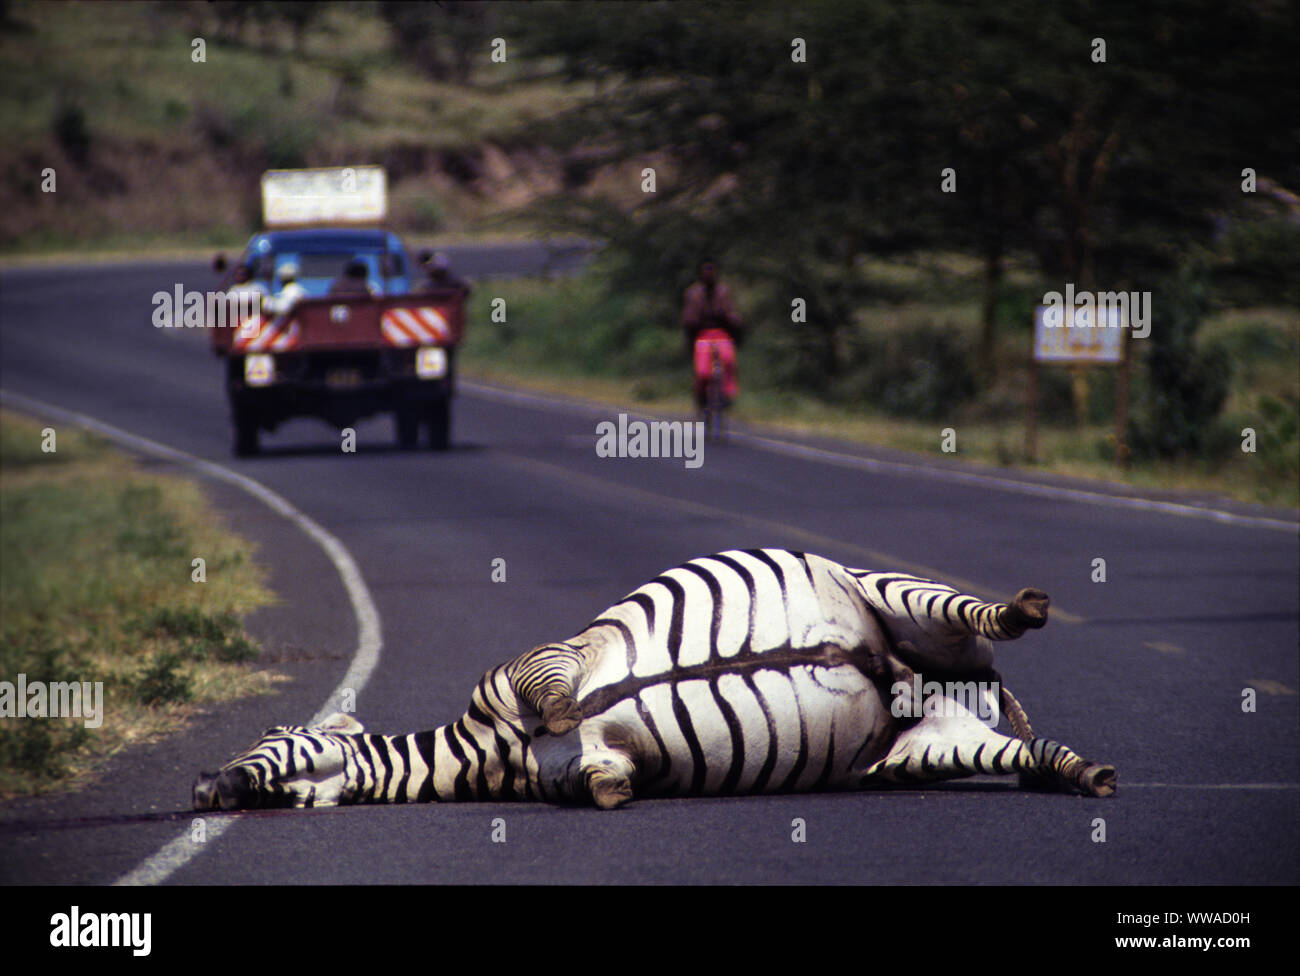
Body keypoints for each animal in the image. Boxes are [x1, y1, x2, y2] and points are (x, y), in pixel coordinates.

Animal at [192, 551, 1118, 810]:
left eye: (269, 735)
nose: (203, 788)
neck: (486, 749)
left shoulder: (534, 662)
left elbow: (560, 696)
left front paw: (566, 711)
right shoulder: (587, 770)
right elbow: (602, 779)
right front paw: (614, 782)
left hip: (886, 592)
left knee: (980, 614)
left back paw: (1024, 607)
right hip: (923, 749)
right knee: (1034, 756)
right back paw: (1089, 774)